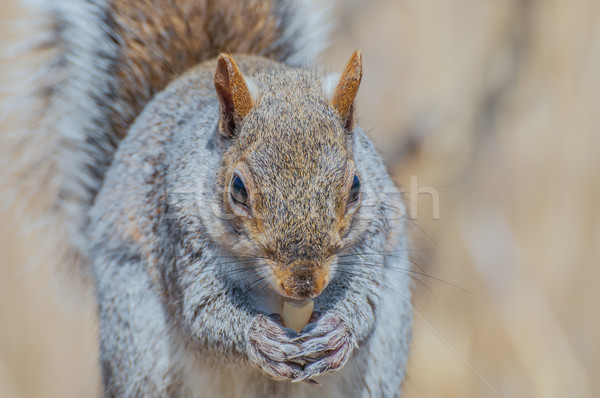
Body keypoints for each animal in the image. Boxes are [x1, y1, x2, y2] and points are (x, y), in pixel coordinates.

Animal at [0, 0, 412, 394]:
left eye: (356, 186)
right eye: (238, 189)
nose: (303, 285)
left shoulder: (372, 234)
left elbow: (365, 298)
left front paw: (337, 332)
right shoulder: (180, 234)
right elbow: (204, 312)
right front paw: (259, 338)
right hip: (135, 336)